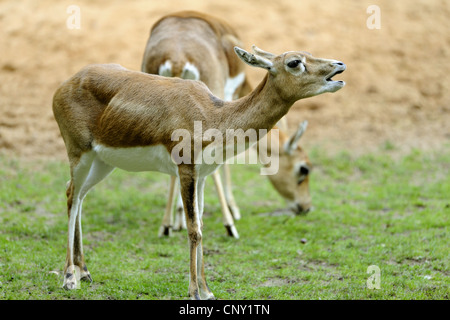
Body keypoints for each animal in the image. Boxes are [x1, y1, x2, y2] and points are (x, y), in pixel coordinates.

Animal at [53, 45, 348, 300]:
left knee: (78, 197)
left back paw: (85, 271)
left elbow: (203, 225)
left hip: (102, 162)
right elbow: (194, 229)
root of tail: (64, 84)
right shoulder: (186, 170)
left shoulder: (204, 175)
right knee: (70, 195)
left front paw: (207, 290)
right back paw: (69, 278)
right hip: (79, 153)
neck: (214, 116)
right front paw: (195, 291)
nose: (339, 65)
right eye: (295, 62)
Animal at [142, 11, 314, 239]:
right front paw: (233, 209)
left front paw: (178, 218)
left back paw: (166, 225)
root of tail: (178, 57)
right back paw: (229, 225)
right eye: (304, 169)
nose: (306, 207)